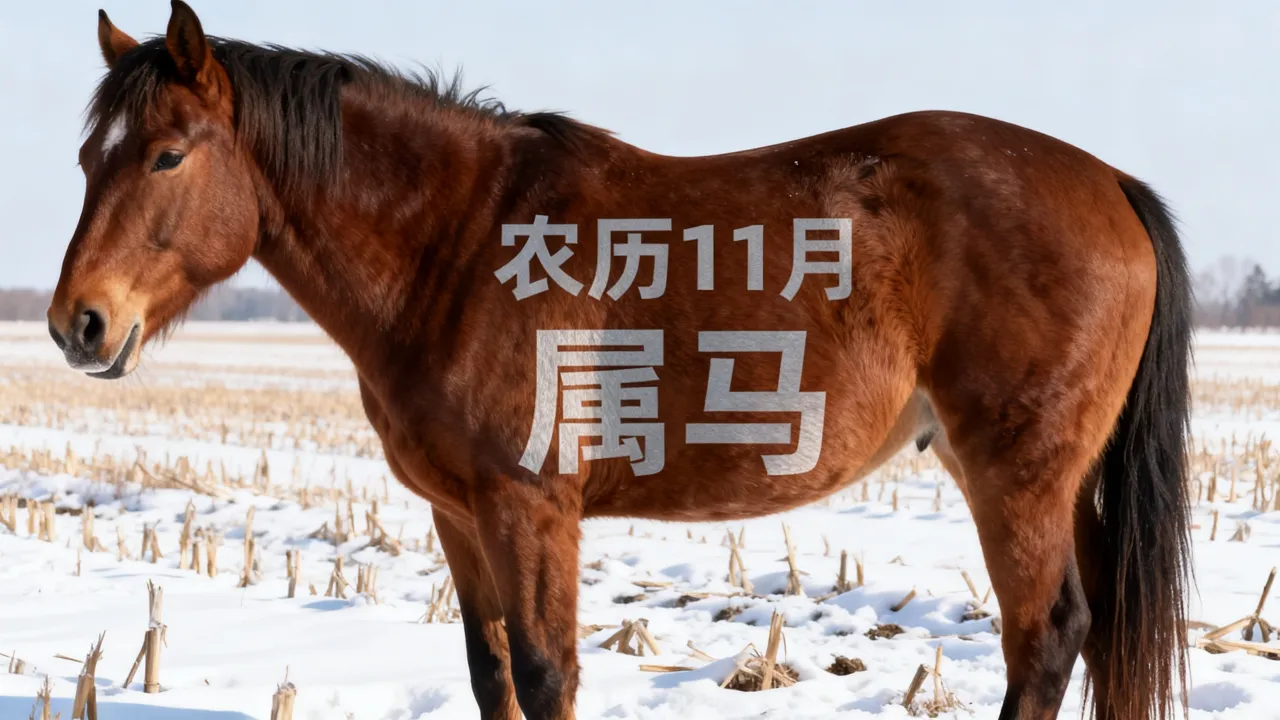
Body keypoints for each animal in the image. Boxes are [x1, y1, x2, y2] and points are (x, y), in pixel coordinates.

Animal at [49, 3, 1193, 719]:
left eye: (167, 154)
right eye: (87, 157)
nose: (77, 325)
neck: (462, 243)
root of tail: (1108, 181)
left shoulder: (530, 508)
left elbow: (548, 672)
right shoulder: (459, 513)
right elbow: (492, 673)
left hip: (1017, 475)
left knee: (1047, 637)